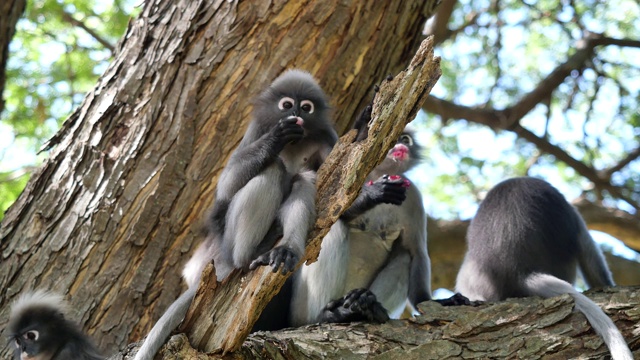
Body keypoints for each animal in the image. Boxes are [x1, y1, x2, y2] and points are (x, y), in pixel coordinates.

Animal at [132, 69, 338, 360]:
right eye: (287, 105)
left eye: (306, 107)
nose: (296, 113)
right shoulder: (256, 131)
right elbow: (227, 186)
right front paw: (276, 138)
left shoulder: (328, 137)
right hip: (230, 241)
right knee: (272, 167)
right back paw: (249, 255)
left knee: (303, 179)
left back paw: (285, 248)